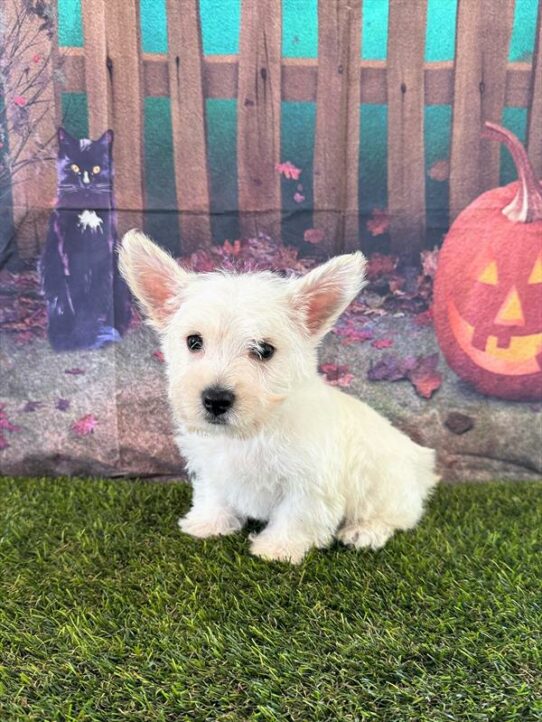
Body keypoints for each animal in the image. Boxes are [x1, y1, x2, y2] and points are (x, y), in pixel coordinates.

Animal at [40, 127, 132, 352]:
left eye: (97, 169)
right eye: (74, 167)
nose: (86, 183)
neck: (86, 209)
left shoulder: (103, 256)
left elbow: (94, 301)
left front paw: (89, 334)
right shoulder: (65, 255)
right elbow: (74, 297)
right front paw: (83, 338)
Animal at [121, 231, 440, 564]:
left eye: (264, 350)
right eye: (194, 341)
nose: (216, 400)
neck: (253, 430)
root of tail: (422, 469)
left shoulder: (309, 483)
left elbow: (296, 515)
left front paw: (279, 548)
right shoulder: (212, 464)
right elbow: (214, 494)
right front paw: (209, 523)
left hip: (386, 483)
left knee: (397, 515)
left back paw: (364, 531)